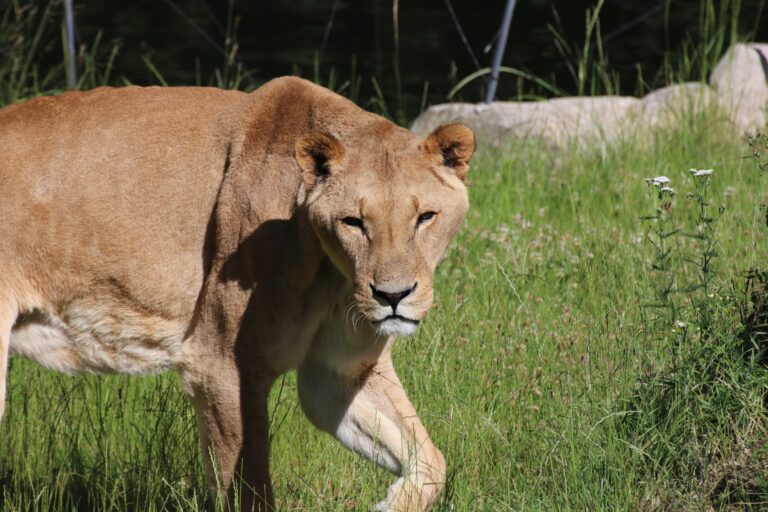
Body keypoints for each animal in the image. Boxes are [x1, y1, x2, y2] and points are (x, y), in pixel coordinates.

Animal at [0, 76, 474, 511]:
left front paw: (390, 503)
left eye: (425, 217)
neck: (331, 270)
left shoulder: (337, 370)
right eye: (354, 222)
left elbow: (431, 460)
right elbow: (249, 488)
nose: (393, 296)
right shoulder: (222, 366)